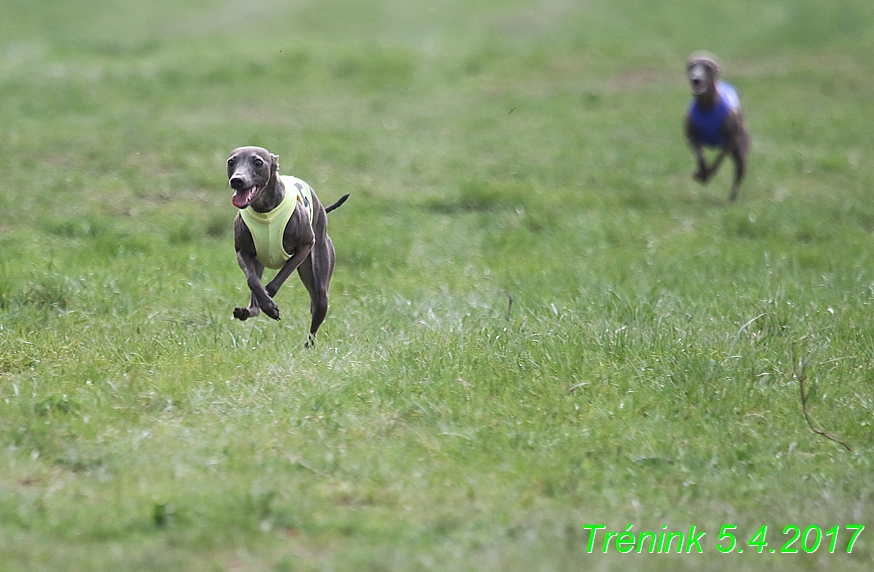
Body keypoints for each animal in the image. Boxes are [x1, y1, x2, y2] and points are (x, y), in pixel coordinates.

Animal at [228, 145, 348, 346]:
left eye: (258, 162)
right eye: (231, 162)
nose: (237, 180)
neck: (265, 210)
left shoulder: (305, 246)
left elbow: (277, 280)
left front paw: (270, 303)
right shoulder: (242, 251)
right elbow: (252, 281)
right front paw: (267, 304)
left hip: (319, 274)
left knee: (317, 307)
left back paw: (308, 345)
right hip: (259, 262)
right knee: (255, 301)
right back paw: (248, 310)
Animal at [680, 53, 748, 201]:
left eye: (708, 67)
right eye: (691, 66)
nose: (696, 79)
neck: (707, 106)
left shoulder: (730, 140)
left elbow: (718, 160)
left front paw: (707, 174)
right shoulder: (691, 138)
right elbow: (700, 157)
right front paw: (701, 173)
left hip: (740, 152)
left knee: (739, 173)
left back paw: (732, 198)